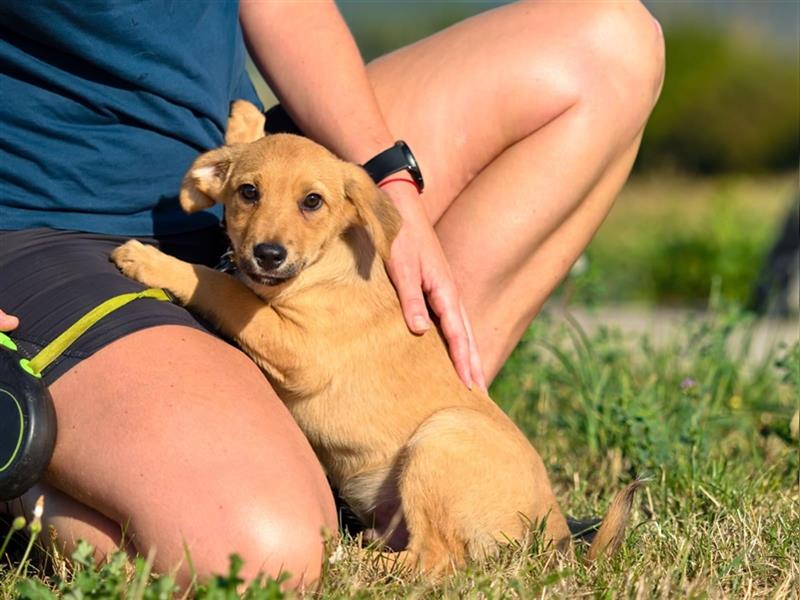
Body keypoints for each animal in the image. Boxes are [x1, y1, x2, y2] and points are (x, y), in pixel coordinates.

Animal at [112, 101, 636, 576]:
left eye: (312, 201)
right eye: (248, 192)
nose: (268, 254)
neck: (324, 265)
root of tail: (556, 529)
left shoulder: (301, 350)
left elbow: (223, 287)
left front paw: (151, 261)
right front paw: (245, 121)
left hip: (441, 438)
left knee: (433, 561)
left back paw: (352, 559)